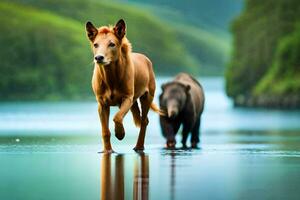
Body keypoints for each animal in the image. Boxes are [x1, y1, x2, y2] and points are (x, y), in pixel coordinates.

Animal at [85, 19, 163, 153]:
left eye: (112, 44)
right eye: (95, 45)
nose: (99, 58)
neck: (110, 76)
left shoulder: (127, 98)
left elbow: (117, 117)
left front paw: (120, 134)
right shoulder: (102, 103)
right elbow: (105, 131)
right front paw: (107, 150)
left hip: (147, 96)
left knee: (144, 121)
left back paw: (139, 147)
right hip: (134, 102)